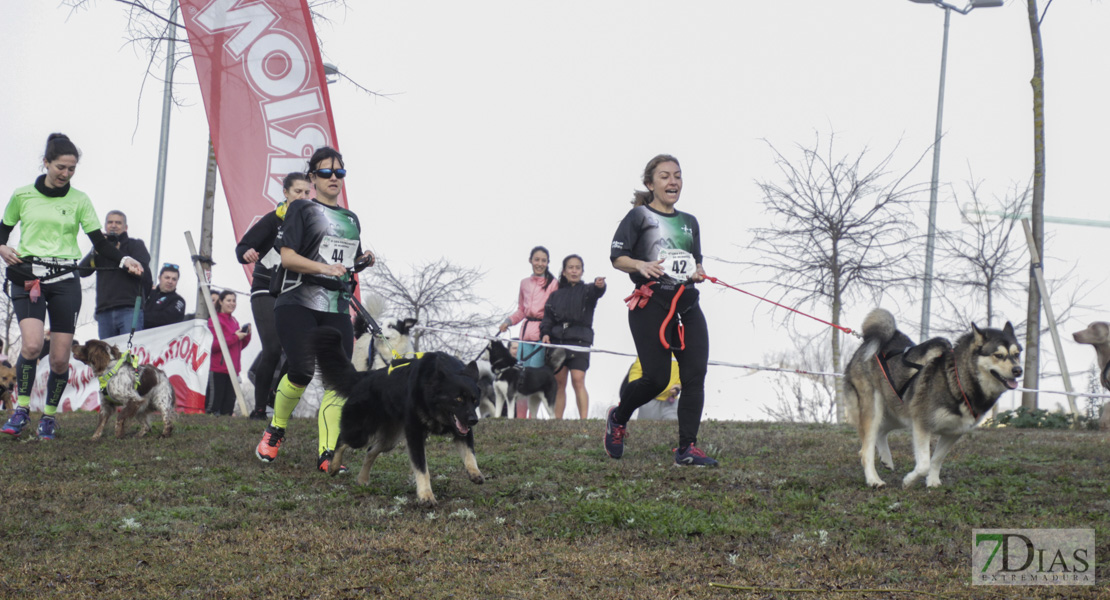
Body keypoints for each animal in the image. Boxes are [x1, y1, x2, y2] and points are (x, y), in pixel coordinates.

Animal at [313, 328, 486, 505]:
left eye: (474, 400)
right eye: (458, 399)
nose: (474, 420)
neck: (430, 392)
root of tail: (365, 377)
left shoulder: (462, 431)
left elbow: (470, 453)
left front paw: (474, 472)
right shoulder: (415, 435)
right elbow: (422, 468)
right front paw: (426, 495)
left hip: (390, 440)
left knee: (370, 451)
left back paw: (362, 479)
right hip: (359, 434)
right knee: (342, 440)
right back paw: (334, 466)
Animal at [843, 308, 1016, 485]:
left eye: (1017, 354)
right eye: (998, 355)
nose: (1018, 370)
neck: (957, 380)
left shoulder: (953, 432)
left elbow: (937, 459)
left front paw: (932, 481)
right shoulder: (922, 425)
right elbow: (924, 464)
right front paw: (909, 481)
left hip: (899, 412)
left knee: (881, 431)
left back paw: (886, 458)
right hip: (874, 409)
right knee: (865, 450)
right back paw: (874, 480)